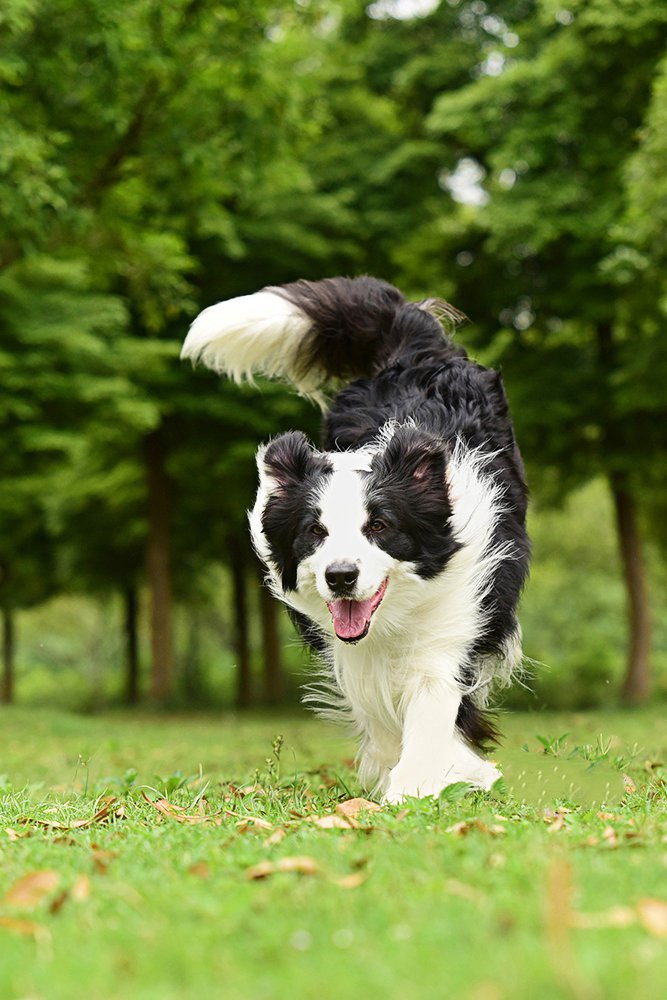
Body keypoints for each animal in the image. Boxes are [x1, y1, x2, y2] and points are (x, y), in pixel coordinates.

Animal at [180, 276, 528, 804]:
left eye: (379, 527)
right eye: (314, 532)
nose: (341, 577)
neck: (391, 620)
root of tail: (409, 342)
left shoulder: (454, 616)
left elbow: (432, 702)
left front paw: (426, 781)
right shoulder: (346, 646)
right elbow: (376, 708)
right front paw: (407, 770)